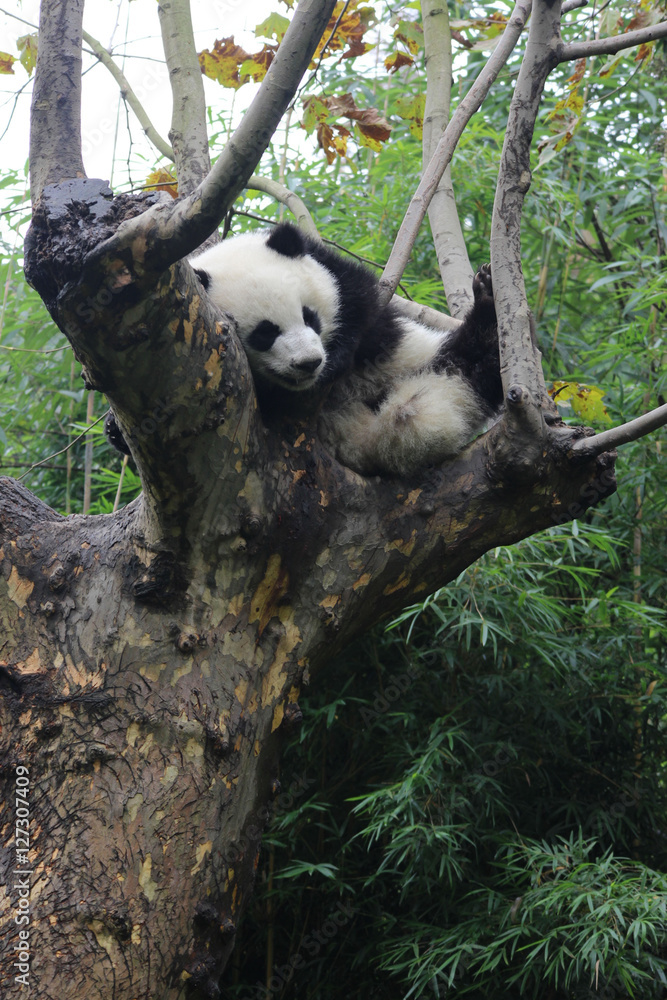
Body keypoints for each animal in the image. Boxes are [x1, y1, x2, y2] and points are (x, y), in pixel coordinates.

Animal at [106, 223, 502, 476]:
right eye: (264, 334)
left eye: (309, 316)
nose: (309, 363)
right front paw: (114, 429)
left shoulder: (336, 273)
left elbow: (358, 302)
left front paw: (339, 354)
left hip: (416, 361)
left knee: (469, 364)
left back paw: (489, 306)